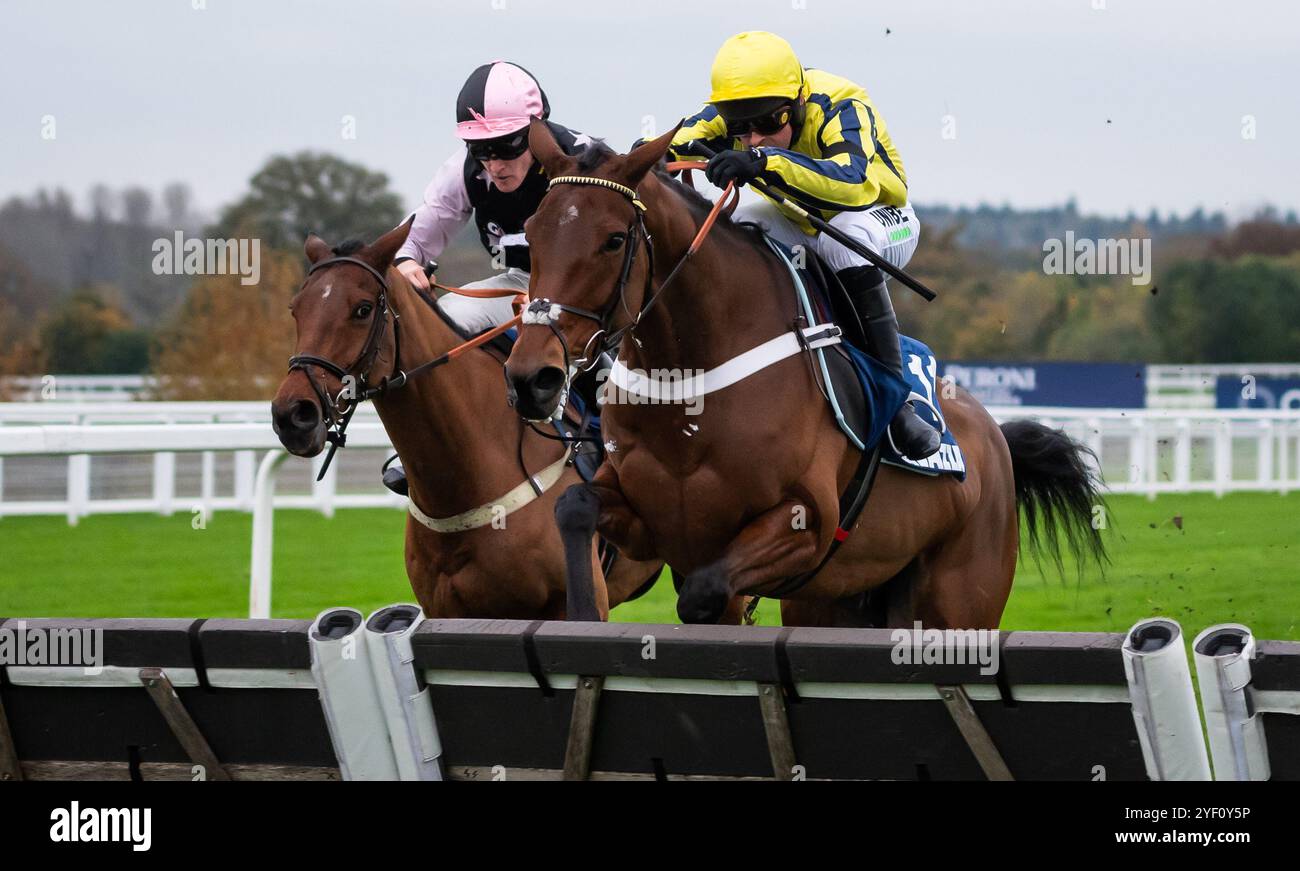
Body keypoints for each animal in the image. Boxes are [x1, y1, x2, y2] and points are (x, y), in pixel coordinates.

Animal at [501, 120, 1102, 629]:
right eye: (531, 233)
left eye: (613, 239)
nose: (533, 377)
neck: (691, 382)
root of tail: (995, 436)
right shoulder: (646, 518)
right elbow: (574, 508)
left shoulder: (805, 523)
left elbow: (702, 595)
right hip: (835, 600)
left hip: (958, 600)